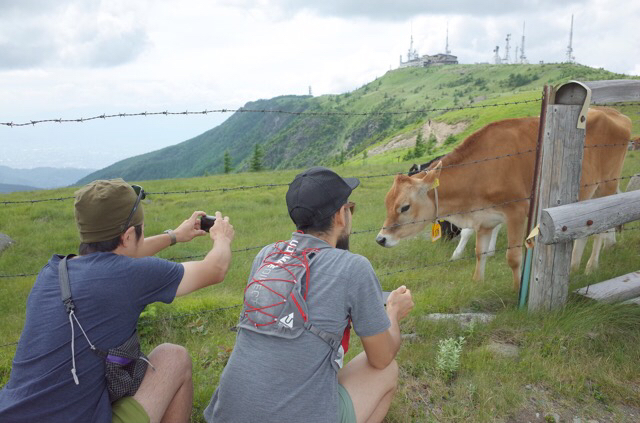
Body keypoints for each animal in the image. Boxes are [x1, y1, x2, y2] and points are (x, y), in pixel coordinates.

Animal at [378, 107, 632, 290]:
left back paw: (591, 266)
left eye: (404, 207)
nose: (380, 239)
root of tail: (614, 112)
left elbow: (513, 256)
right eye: (387, 204)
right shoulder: (485, 219)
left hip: (607, 184)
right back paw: (575, 266)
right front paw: (477, 283)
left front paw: (517, 288)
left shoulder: (516, 213)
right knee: (585, 229)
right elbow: (480, 253)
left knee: (601, 229)